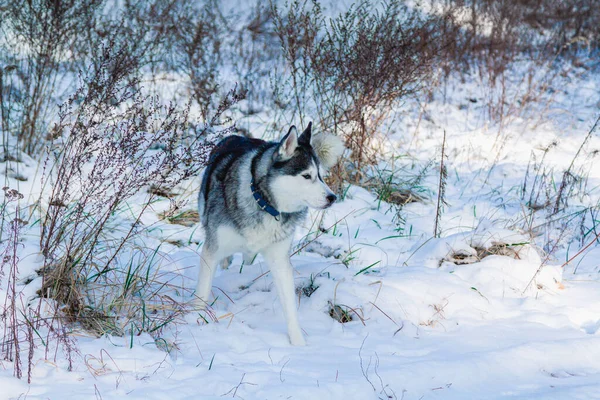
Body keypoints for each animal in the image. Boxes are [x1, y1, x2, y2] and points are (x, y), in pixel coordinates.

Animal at [196, 122, 342, 344]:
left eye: (320, 176)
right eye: (306, 176)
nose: (332, 197)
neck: (264, 202)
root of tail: (239, 136)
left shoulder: (279, 260)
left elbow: (289, 307)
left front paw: (298, 343)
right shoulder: (211, 251)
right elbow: (202, 293)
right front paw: (193, 322)